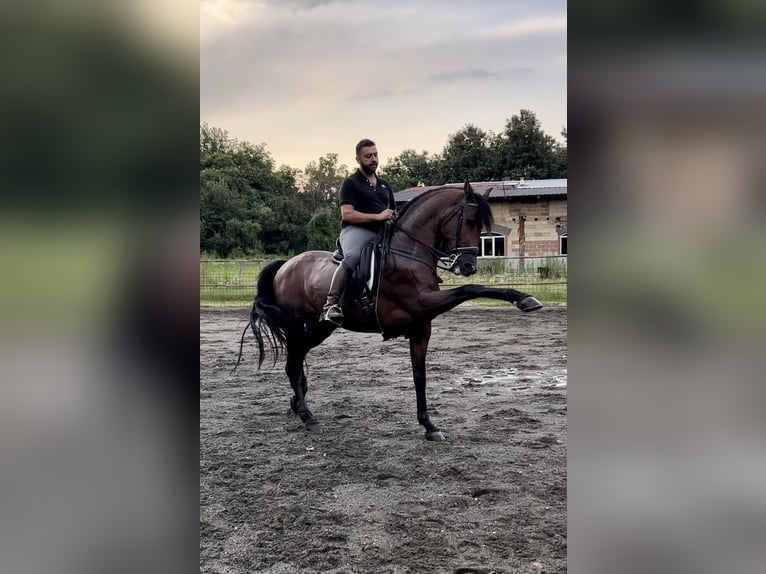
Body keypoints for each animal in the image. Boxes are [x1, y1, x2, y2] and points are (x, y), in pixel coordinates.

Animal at [237, 181, 542, 441]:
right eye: (468, 221)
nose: (467, 266)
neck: (409, 252)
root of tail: (286, 265)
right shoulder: (424, 303)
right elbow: (470, 289)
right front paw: (524, 299)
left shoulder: (421, 326)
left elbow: (420, 376)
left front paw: (429, 426)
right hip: (296, 324)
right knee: (292, 363)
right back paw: (306, 415)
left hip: (320, 326)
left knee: (297, 360)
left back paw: (297, 404)